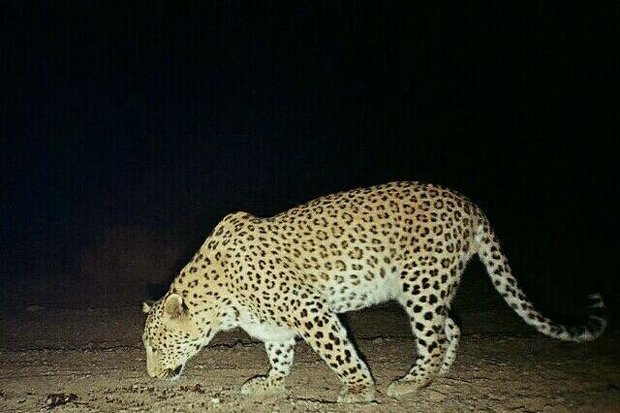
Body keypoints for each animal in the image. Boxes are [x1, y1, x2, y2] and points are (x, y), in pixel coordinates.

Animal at [140, 181, 604, 402]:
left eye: (158, 347)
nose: (150, 375)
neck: (221, 303)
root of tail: (471, 206)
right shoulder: (275, 325)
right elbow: (280, 355)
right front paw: (269, 384)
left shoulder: (309, 308)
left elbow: (338, 351)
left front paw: (361, 389)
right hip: (428, 288)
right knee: (452, 326)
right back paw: (441, 373)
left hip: (421, 283)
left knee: (434, 336)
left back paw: (411, 383)